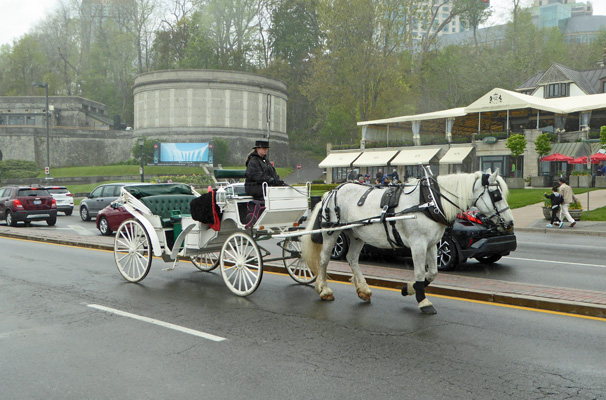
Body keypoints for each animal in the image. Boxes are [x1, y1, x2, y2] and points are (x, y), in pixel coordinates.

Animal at [302, 167, 516, 314]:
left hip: (356, 234)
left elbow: (433, 273)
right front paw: (423, 300)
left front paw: (409, 288)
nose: (510, 222)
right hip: (332, 232)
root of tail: (331, 191)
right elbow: (420, 272)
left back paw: (363, 289)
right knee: (324, 259)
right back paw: (324, 290)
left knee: (352, 259)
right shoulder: (418, 244)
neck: (429, 202)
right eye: (496, 195)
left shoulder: (432, 244)